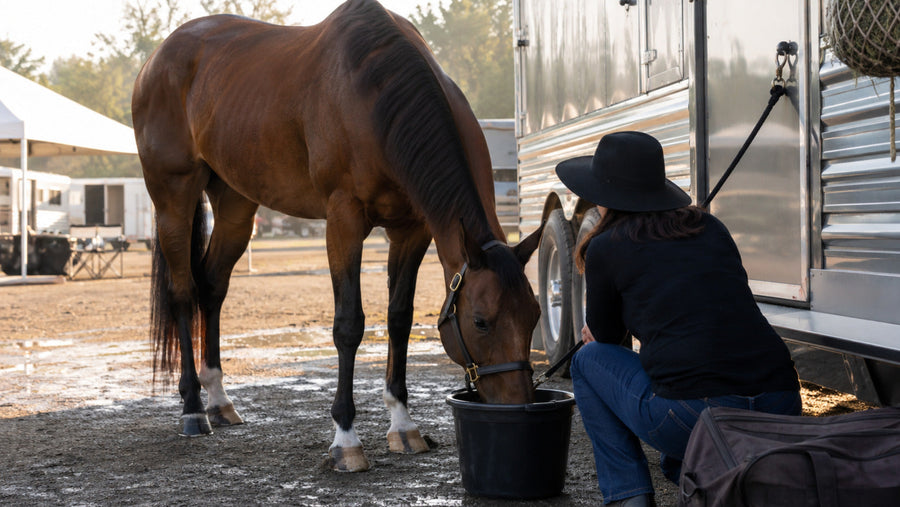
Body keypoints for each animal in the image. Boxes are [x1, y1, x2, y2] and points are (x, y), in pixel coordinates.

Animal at [132, 0, 544, 472]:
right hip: (173, 197)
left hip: (235, 204)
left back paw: (219, 400)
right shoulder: (343, 221)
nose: (518, 404)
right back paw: (193, 409)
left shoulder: (411, 230)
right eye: (480, 321)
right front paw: (346, 439)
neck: (378, 99)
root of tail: (157, 59)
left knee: (212, 285)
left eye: (534, 315)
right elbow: (349, 324)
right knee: (183, 292)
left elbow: (399, 318)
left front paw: (403, 426)